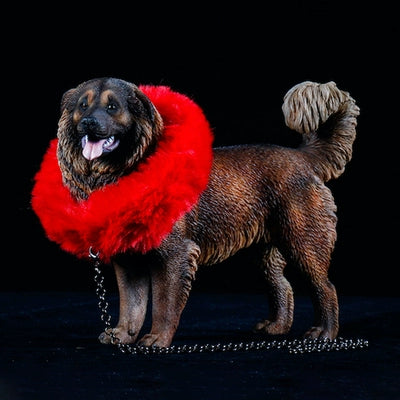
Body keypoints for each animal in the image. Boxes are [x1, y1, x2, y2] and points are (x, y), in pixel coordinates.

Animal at [33, 77, 360, 346]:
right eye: (83, 105)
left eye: (112, 107)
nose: (88, 122)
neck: (125, 171)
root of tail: (303, 158)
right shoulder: (128, 261)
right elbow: (132, 304)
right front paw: (123, 335)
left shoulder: (175, 255)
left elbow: (164, 303)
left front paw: (157, 338)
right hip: (264, 251)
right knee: (283, 286)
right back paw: (277, 327)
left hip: (304, 242)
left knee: (326, 287)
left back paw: (324, 333)